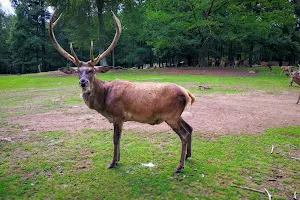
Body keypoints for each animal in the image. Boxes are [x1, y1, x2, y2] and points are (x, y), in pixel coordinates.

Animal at [49, 10, 195, 172]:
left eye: (92, 71)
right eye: (78, 71)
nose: (83, 82)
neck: (104, 101)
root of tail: (187, 93)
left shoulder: (117, 115)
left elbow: (115, 138)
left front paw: (112, 162)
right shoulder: (121, 119)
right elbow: (119, 138)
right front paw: (118, 159)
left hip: (171, 115)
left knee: (183, 134)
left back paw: (179, 166)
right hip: (176, 115)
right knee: (190, 128)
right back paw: (188, 156)